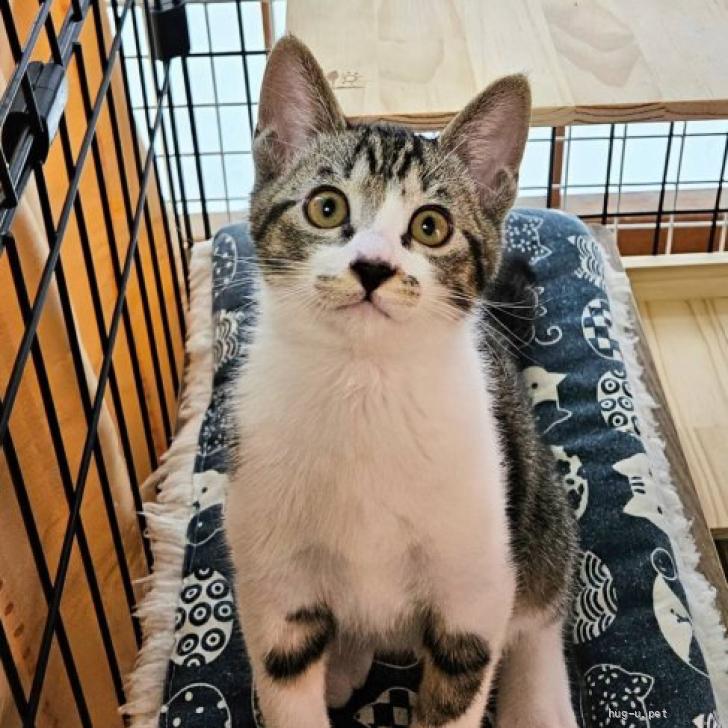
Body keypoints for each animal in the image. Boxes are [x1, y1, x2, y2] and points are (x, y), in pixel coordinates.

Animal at [226, 35, 578, 728]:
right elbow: (287, 686)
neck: (365, 386)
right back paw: (344, 663)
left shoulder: (472, 596)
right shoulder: (274, 587)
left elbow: (463, 683)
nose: (372, 266)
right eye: (326, 206)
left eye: (430, 226)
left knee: (541, 601)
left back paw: (538, 701)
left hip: (532, 496)